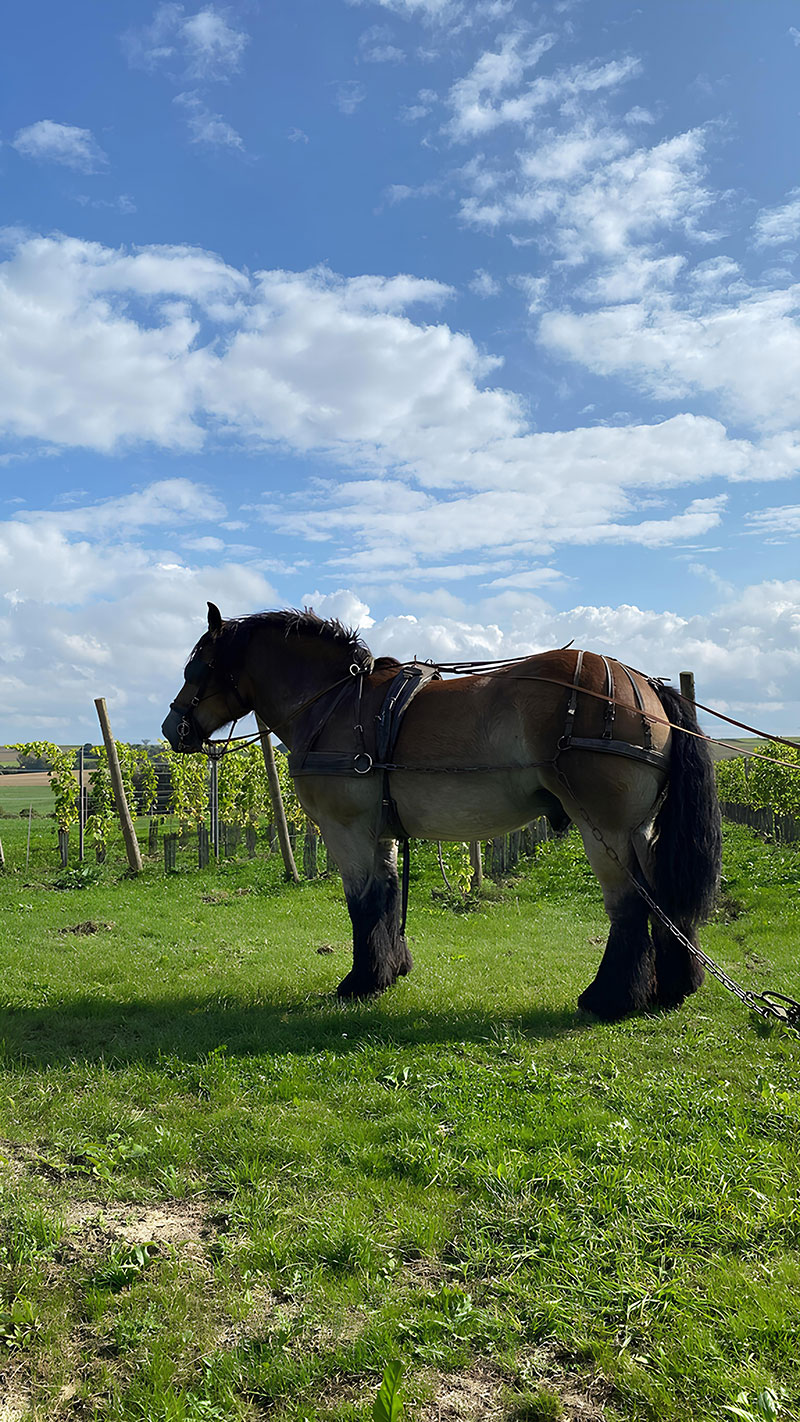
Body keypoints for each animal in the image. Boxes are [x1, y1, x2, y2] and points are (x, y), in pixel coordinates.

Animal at [161, 600, 719, 1023]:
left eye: (198, 667)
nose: (172, 728)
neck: (335, 704)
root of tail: (643, 683)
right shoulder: (379, 832)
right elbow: (387, 895)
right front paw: (391, 970)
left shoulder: (346, 830)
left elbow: (361, 902)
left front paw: (360, 981)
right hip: (638, 829)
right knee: (662, 896)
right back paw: (674, 985)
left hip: (603, 828)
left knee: (630, 905)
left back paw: (609, 998)